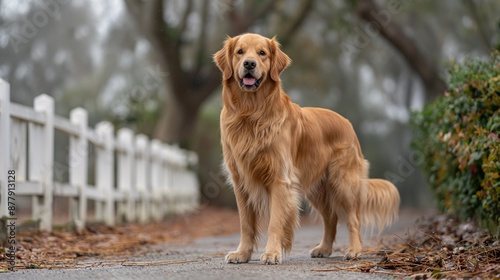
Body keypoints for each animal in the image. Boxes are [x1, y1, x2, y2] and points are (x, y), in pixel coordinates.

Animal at [213, 33, 400, 264]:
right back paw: (324, 248)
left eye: (262, 53)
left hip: (344, 182)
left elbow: (275, 222)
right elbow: (246, 224)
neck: (251, 114)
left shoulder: (280, 180)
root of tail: (347, 123)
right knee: (331, 218)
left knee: (353, 219)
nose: (249, 64)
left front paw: (272, 253)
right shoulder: (240, 182)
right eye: (240, 52)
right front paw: (242, 253)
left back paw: (354, 250)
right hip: (317, 188)